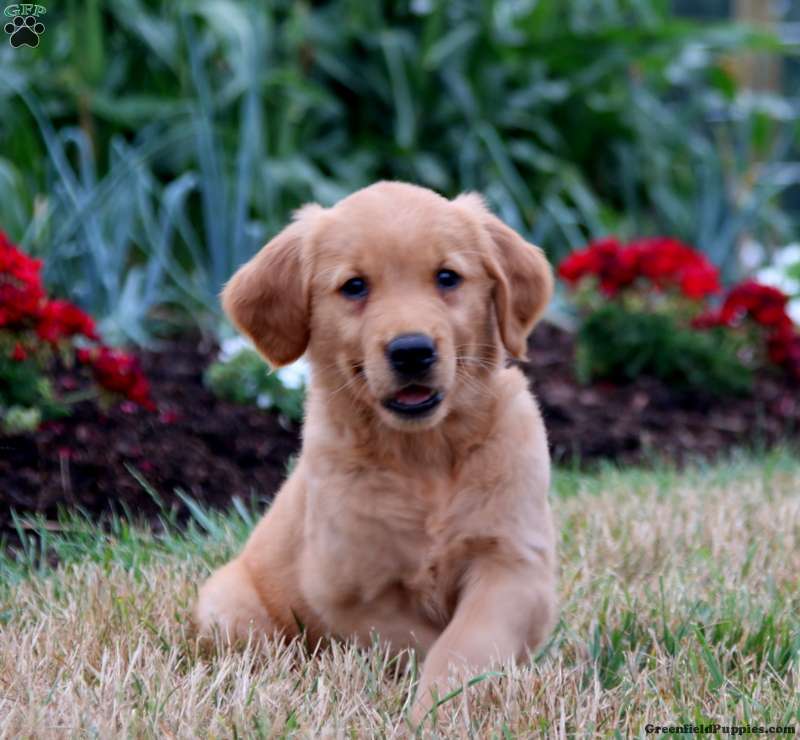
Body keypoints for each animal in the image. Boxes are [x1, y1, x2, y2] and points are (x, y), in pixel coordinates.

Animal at [195, 179, 556, 724]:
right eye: (355, 286)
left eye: (447, 277)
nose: (412, 351)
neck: (424, 456)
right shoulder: (349, 591)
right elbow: (420, 641)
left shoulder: (512, 562)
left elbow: (462, 642)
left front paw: (442, 706)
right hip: (223, 607)